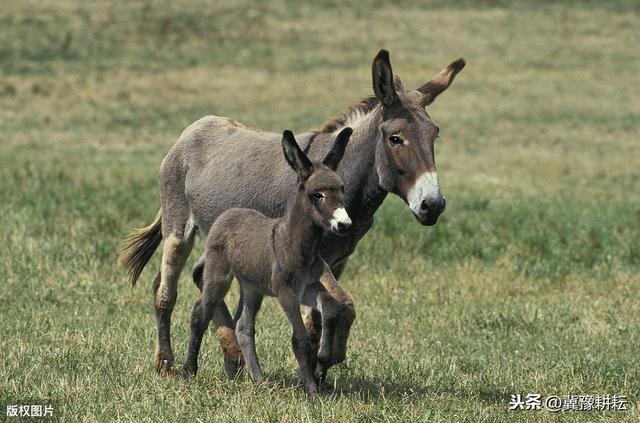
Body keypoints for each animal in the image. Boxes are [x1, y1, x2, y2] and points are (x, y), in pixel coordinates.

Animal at [182, 127, 352, 396]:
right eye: (318, 195)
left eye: (342, 189)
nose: (345, 225)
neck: (297, 246)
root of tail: (229, 213)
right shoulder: (286, 292)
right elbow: (300, 339)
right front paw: (312, 390)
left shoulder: (309, 287)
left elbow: (332, 307)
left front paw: (323, 358)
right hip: (218, 277)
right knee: (201, 313)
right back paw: (189, 371)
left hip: (252, 288)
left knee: (244, 326)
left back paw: (258, 379)